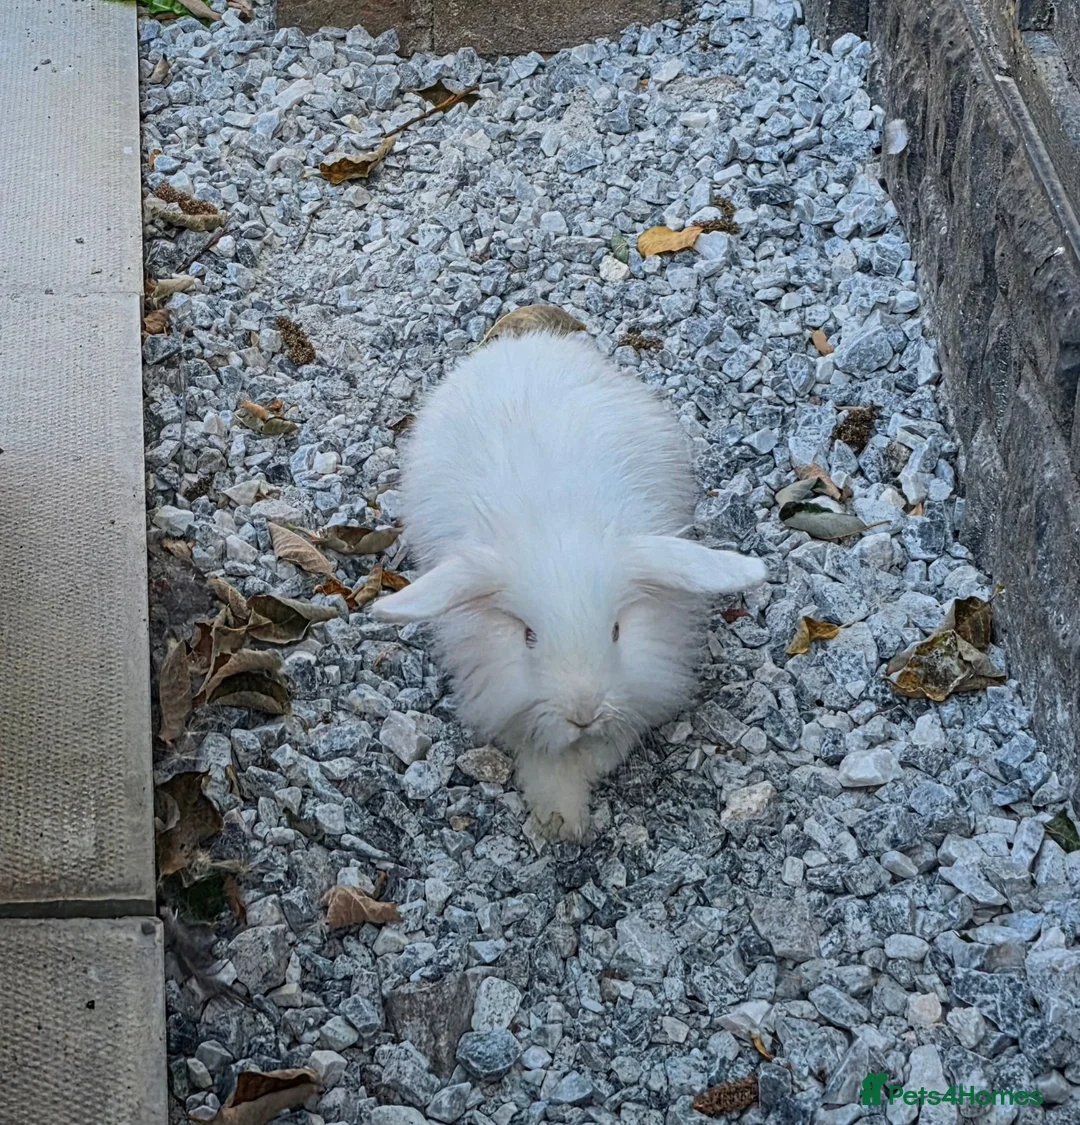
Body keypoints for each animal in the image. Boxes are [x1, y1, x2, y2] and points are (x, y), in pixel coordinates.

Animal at [369, 330, 767, 840]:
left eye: (616, 631)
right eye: (528, 636)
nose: (583, 714)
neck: (555, 525)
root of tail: (522, 342)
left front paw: (578, 795)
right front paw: (559, 818)